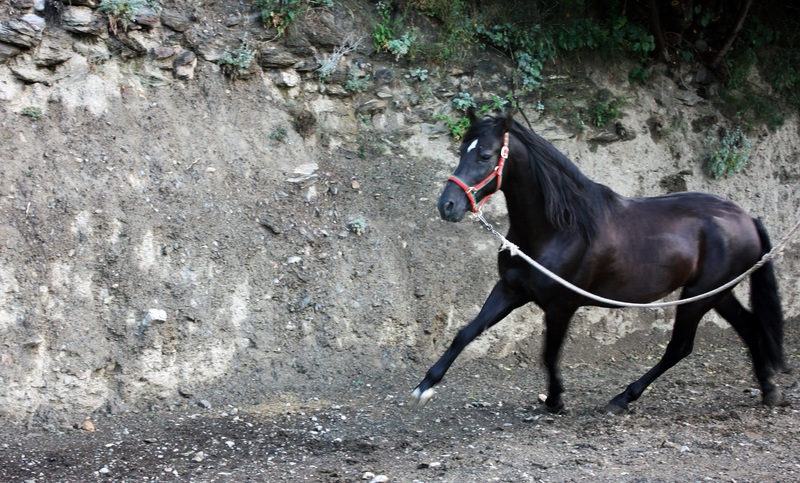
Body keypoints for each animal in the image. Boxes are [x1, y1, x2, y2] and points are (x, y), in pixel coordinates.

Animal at [411, 109, 785, 414]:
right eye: (462, 151)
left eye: (485, 154)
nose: (447, 205)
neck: (558, 228)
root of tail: (747, 218)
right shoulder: (510, 290)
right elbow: (466, 332)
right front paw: (425, 386)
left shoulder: (560, 306)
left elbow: (549, 353)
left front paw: (555, 401)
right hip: (717, 293)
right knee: (749, 326)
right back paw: (768, 390)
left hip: (699, 297)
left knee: (679, 347)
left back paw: (622, 399)